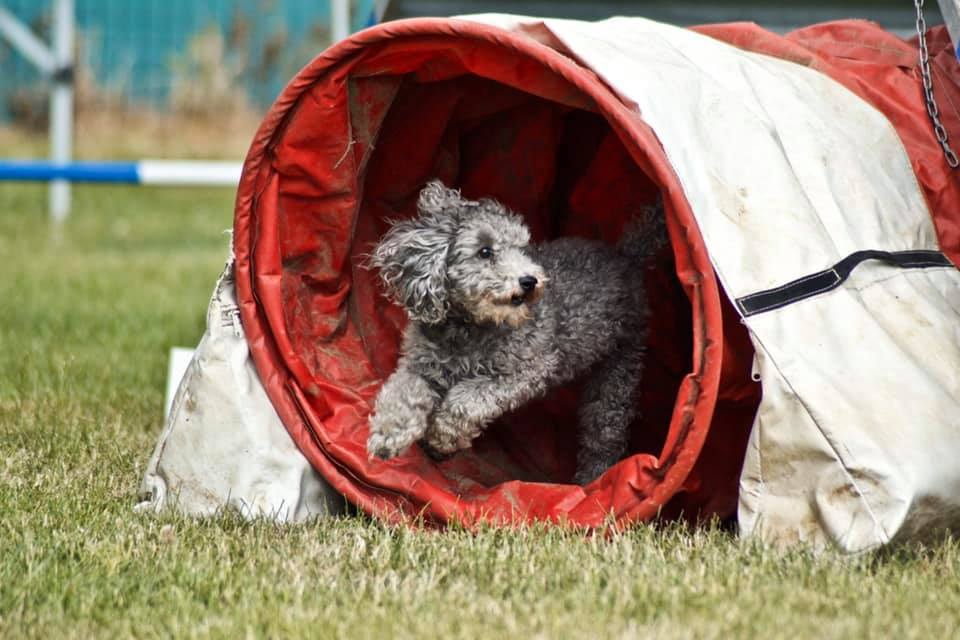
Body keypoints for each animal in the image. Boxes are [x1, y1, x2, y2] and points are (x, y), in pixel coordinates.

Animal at [365, 181, 666, 484]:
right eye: (485, 251)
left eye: (523, 250)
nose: (529, 280)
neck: (469, 329)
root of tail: (627, 258)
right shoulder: (421, 364)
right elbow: (403, 392)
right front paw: (387, 436)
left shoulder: (527, 371)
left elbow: (465, 400)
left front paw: (441, 437)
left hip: (620, 368)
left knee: (604, 434)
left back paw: (593, 481)